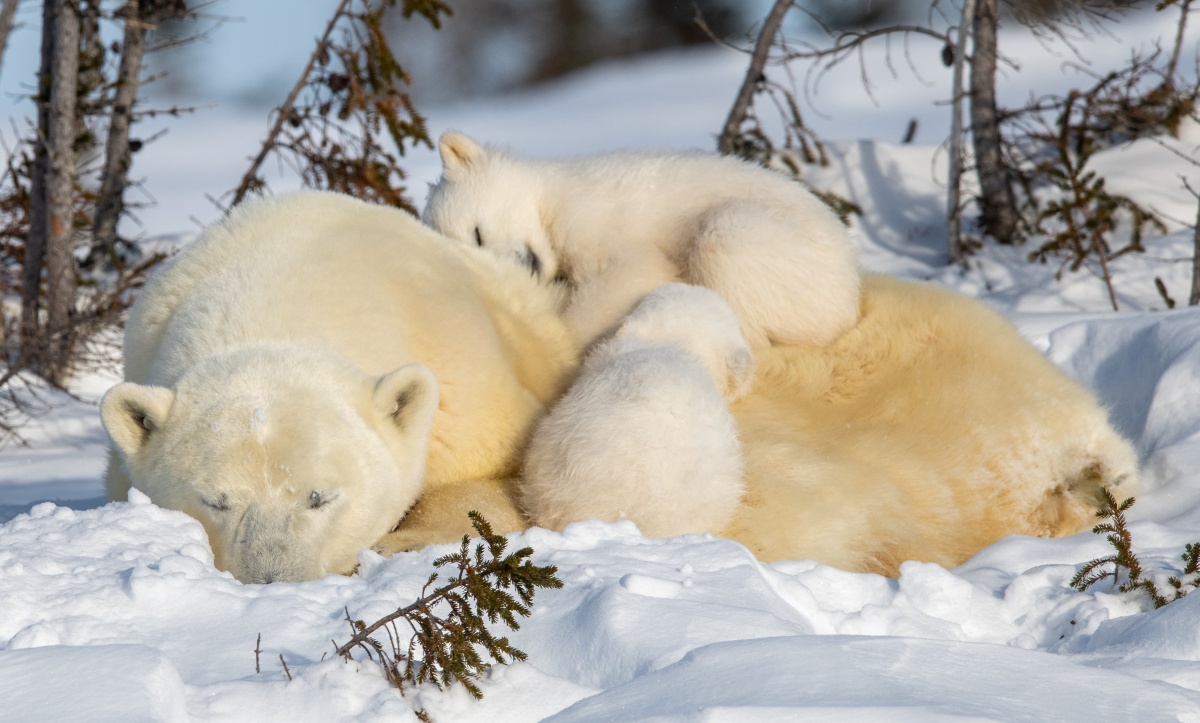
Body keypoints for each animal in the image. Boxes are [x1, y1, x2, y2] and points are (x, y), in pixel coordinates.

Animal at [98, 189, 576, 578]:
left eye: (320, 497)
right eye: (216, 501)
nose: (272, 580)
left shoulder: (464, 391)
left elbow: (499, 479)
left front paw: (400, 543)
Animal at [422, 135, 864, 350]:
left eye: (477, 233)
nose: (524, 265)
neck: (552, 194)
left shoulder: (589, 218)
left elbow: (634, 269)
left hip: (790, 253)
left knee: (725, 239)